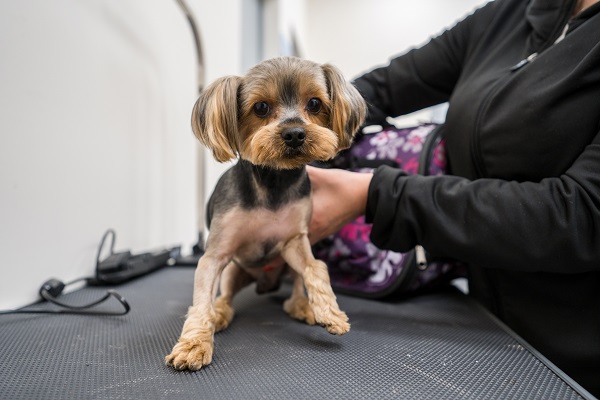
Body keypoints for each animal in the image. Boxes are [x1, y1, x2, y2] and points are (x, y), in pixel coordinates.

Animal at [166, 56, 368, 368]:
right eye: (260, 107)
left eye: (314, 103)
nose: (295, 133)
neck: (274, 180)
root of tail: (265, 283)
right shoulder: (216, 255)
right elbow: (201, 302)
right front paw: (194, 344)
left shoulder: (295, 241)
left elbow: (314, 268)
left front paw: (330, 312)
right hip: (234, 271)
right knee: (224, 297)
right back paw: (220, 314)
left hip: (285, 264)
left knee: (296, 285)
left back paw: (302, 306)